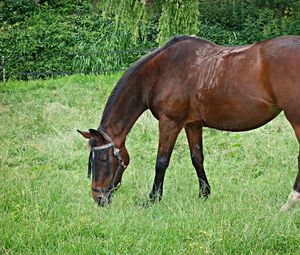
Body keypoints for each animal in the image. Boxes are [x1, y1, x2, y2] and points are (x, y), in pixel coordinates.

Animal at [78, 34, 300, 209]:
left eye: (103, 159)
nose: (99, 198)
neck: (159, 73)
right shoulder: (192, 124)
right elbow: (197, 158)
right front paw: (204, 193)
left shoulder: (170, 123)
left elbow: (161, 161)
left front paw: (153, 199)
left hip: (296, 119)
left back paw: (289, 202)